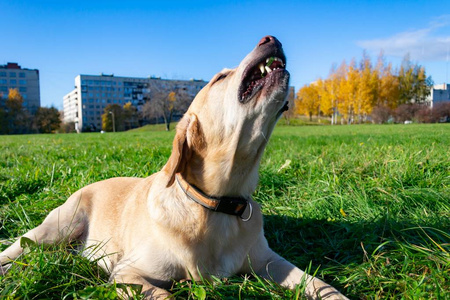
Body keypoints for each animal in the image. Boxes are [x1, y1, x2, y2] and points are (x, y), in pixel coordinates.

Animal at [0, 36, 348, 298]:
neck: (217, 202)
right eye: (220, 78)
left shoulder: (268, 261)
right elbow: (163, 293)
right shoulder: (128, 273)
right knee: (18, 248)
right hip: (56, 228)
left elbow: (318, 283)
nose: (270, 38)